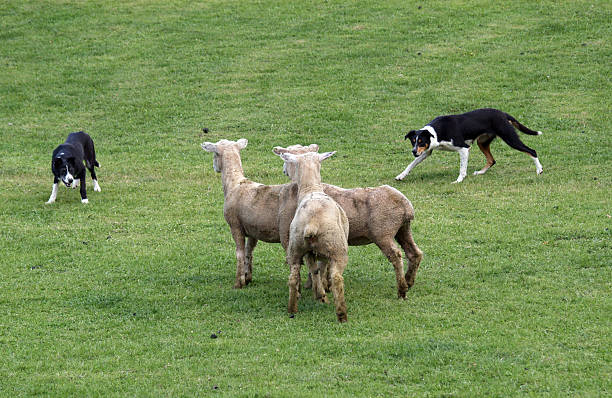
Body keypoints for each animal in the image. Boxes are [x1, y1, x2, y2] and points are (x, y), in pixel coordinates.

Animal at [274, 145, 424, 296]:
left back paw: (402, 288)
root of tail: (406, 206)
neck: (310, 188)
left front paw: (313, 285)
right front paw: (326, 284)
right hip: (403, 229)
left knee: (396, 256)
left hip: (383, 233)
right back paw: (409, 281)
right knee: (414, 253)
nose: (283, 170)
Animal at [276, 151, 350, 322]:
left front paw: (319, 294)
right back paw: (341, 314)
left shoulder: (309, 253)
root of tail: (312, 223)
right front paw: (322, 293)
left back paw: (292, 308)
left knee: (293, 278)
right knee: (337, 278)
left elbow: (314, 270)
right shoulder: (325, 254)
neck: (311, 189)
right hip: (337, 248)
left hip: (295, 248)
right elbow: (322, 269)